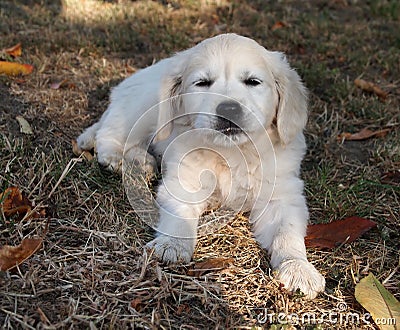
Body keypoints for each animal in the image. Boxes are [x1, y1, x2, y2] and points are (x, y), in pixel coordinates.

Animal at [77, 33, 324, 300]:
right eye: (202, 83)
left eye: (253, 82)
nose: (229, 109)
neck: (232, 153)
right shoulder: (182, 182)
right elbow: (179, 215)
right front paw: (172, 245)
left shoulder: (283, 195)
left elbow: (287, 233)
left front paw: (298, 268)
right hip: (142, 106)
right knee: (110, 133)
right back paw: (118, 158)